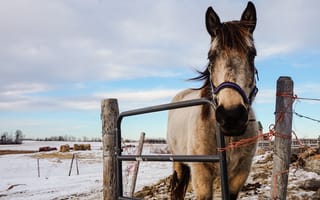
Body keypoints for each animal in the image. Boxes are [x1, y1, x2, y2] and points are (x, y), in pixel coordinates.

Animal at [166, 1, 258, 200]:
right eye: (211, 56)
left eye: (252, 54)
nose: (231, 116)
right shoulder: (201, 175)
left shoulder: (239, 174)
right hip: (178, 162)